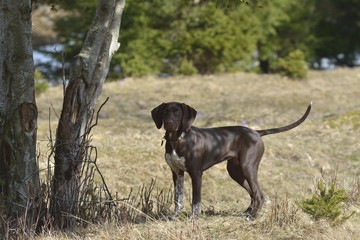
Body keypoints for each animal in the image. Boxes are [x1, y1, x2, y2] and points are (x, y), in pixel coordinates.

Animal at [150, 101, 310, 219]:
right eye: (165, 112)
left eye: (178, 113)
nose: (169, 123)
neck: (178, 140)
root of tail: (256, 132)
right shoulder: (177, 173)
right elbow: (178, 197)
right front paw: (174, 216)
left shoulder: (196, 174)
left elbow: (196, 199)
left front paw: (193, 218)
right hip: (235, 172)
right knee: (253, 193)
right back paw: (248, 212)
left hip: (248, 167)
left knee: (259, 194)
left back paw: (253, 217)